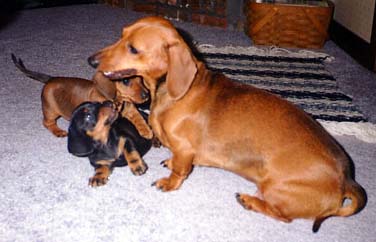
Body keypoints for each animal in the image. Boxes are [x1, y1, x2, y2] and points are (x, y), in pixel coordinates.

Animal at [10, 54, 148, 138]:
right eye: (125, 81)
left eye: (140, 78)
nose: (146, 95)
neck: (118, 100)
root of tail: (51, 79)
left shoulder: (131, 109)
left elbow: (139, 119)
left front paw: (146, 131)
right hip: (51, 110)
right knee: (47, 123)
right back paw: (58, 131)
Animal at [87, 16, 364, 232]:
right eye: (121, 35)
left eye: (133, 49)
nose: (91, 61)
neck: (175, 92)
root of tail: (346, 178)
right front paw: (169, 161)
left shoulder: (184, 149)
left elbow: (180, 171)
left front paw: (168, 182)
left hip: (274, 188)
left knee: (282, 216)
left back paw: (249, 201)